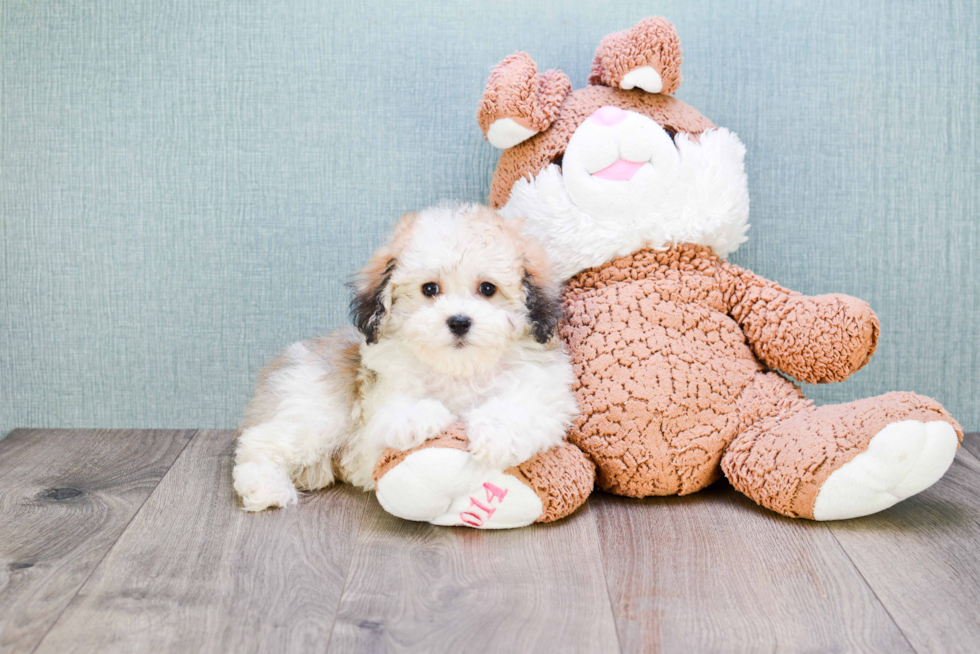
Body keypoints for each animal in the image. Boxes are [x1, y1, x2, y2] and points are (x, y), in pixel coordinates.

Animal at [234, 202, 580, 516]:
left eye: (487, 288)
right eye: (429, 289)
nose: (459, 321)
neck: (458, 370)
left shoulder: (545, 390)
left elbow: (525, 405)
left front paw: (497, 433)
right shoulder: (377, 399)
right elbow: (394, 409)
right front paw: (419, 416)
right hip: (314, 412)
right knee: (258, 444)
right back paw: (265, 486)